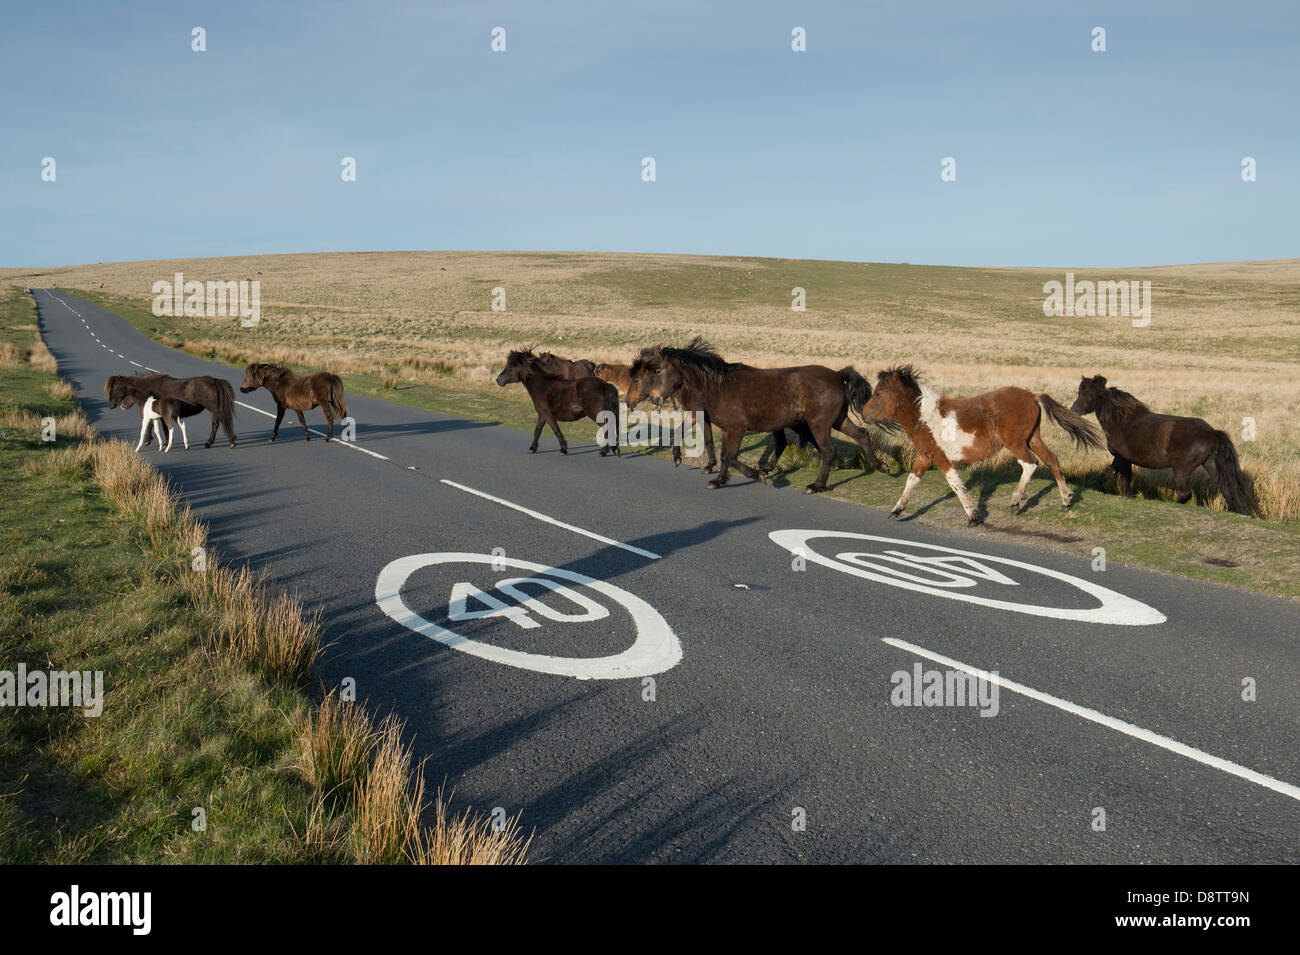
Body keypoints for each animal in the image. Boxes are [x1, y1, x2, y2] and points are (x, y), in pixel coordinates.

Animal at [105, 374, 237, 446]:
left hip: (213, 409)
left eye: (114, 389)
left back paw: (219, 442)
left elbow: (161, 428)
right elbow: (161, 428)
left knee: (217, 423)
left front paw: (159, 442)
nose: (110, 405)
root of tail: (215, 380)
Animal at [626, 337, 883, 493]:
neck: (716, 387)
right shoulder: (723, 427)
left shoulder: (735, 428)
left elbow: (729, 456)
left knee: (828, 450)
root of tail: (837, 375)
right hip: (837, 420)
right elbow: (723, 453)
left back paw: (817, 485)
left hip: (819, 423)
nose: (629, 401)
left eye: (647, 375)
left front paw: (757, 475)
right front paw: (718, 480)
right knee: (861, 434)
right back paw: (879, 466)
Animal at [863, 369, 1107, 530]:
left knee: (1030, 464)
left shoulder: (941, 457)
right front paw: (896, 510)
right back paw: (1066, 500)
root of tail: (1033, 396)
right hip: (1033, 438)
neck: (925, 418)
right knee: (1052, 460)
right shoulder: (925, 456)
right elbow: (911, 481)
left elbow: (955, 485)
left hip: (1016, 443)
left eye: (877, 394)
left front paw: (973, 516)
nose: (864, 414)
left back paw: (1016, 501)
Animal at [1066, 376, 1258, 519]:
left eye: (1084, 392)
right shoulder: (1118, 458)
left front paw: (1128, 496)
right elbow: (1108, 475)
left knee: (1185, 493)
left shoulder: (1123, 458)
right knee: (1226, 490)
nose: (1073, 411)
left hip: (1181, 469)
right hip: (1211, 466)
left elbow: (1125, 481)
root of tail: (1211, 433)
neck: (1122, 421)